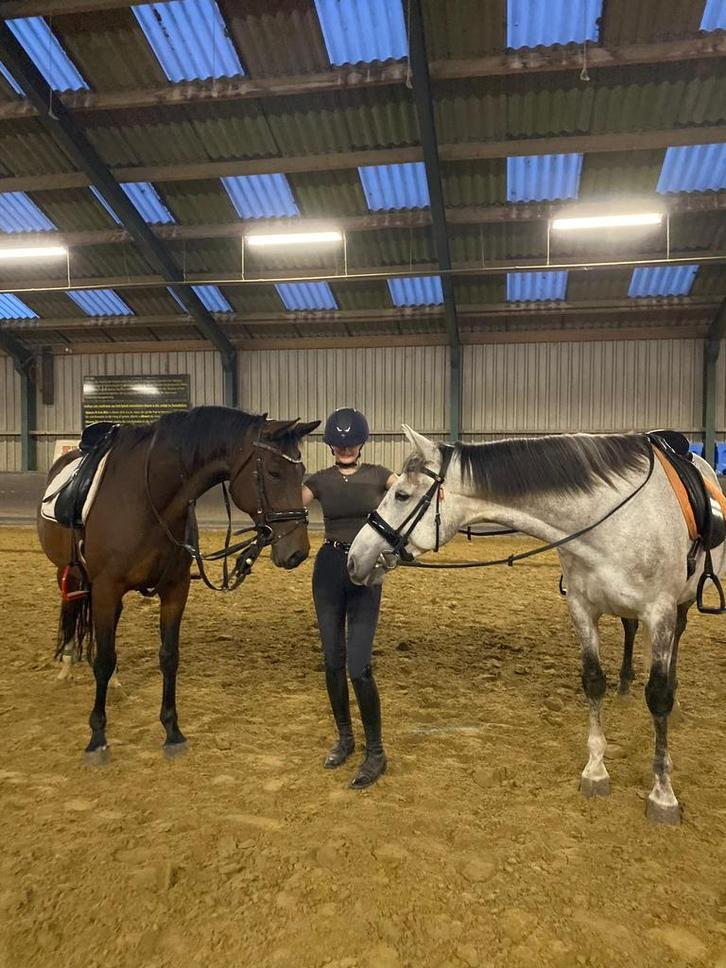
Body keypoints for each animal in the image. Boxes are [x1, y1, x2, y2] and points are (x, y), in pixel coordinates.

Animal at [38, 406, 319, 762]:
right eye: (273, 472)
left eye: (302, 472)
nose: (298, 552)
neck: (147, 499)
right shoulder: (105, 588)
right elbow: (103, 659)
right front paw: (97, 737)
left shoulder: (174, 590)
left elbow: (168, 656)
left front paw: (172, 732)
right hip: (71, 573)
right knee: (72, 609)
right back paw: (67, 665)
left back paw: (113, 683)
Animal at [347, 425, 726, 825]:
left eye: (401, 495)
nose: (355, 559)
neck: (615, 521)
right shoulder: (582, 609)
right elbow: (594, 682)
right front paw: (595, 771)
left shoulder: (660, 611)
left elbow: (658, 696)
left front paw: (663, 794)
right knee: (629, 630)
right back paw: (625, 684)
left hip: (681, 603)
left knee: (674, 644)